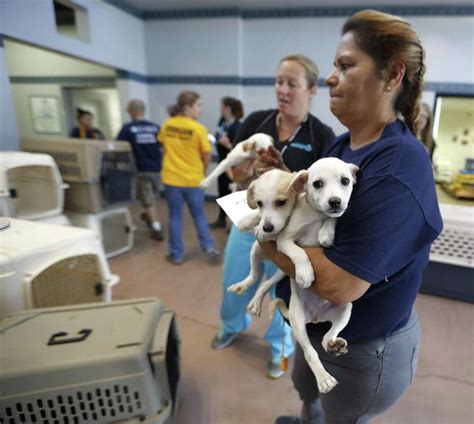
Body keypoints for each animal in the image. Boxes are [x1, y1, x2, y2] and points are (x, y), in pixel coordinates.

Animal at [228, 158, 358, 394]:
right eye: (317, 184)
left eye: (345, 181)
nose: (335, 202)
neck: (316, 215)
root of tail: (315, 317)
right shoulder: (285, 241)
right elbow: (300, 253)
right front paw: (306, 273)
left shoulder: (330, 218)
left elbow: (332, 220)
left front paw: (326, 233)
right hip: (294, 316)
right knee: (257, 277)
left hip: (344, 309)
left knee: (325, 339)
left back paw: (333, 349)